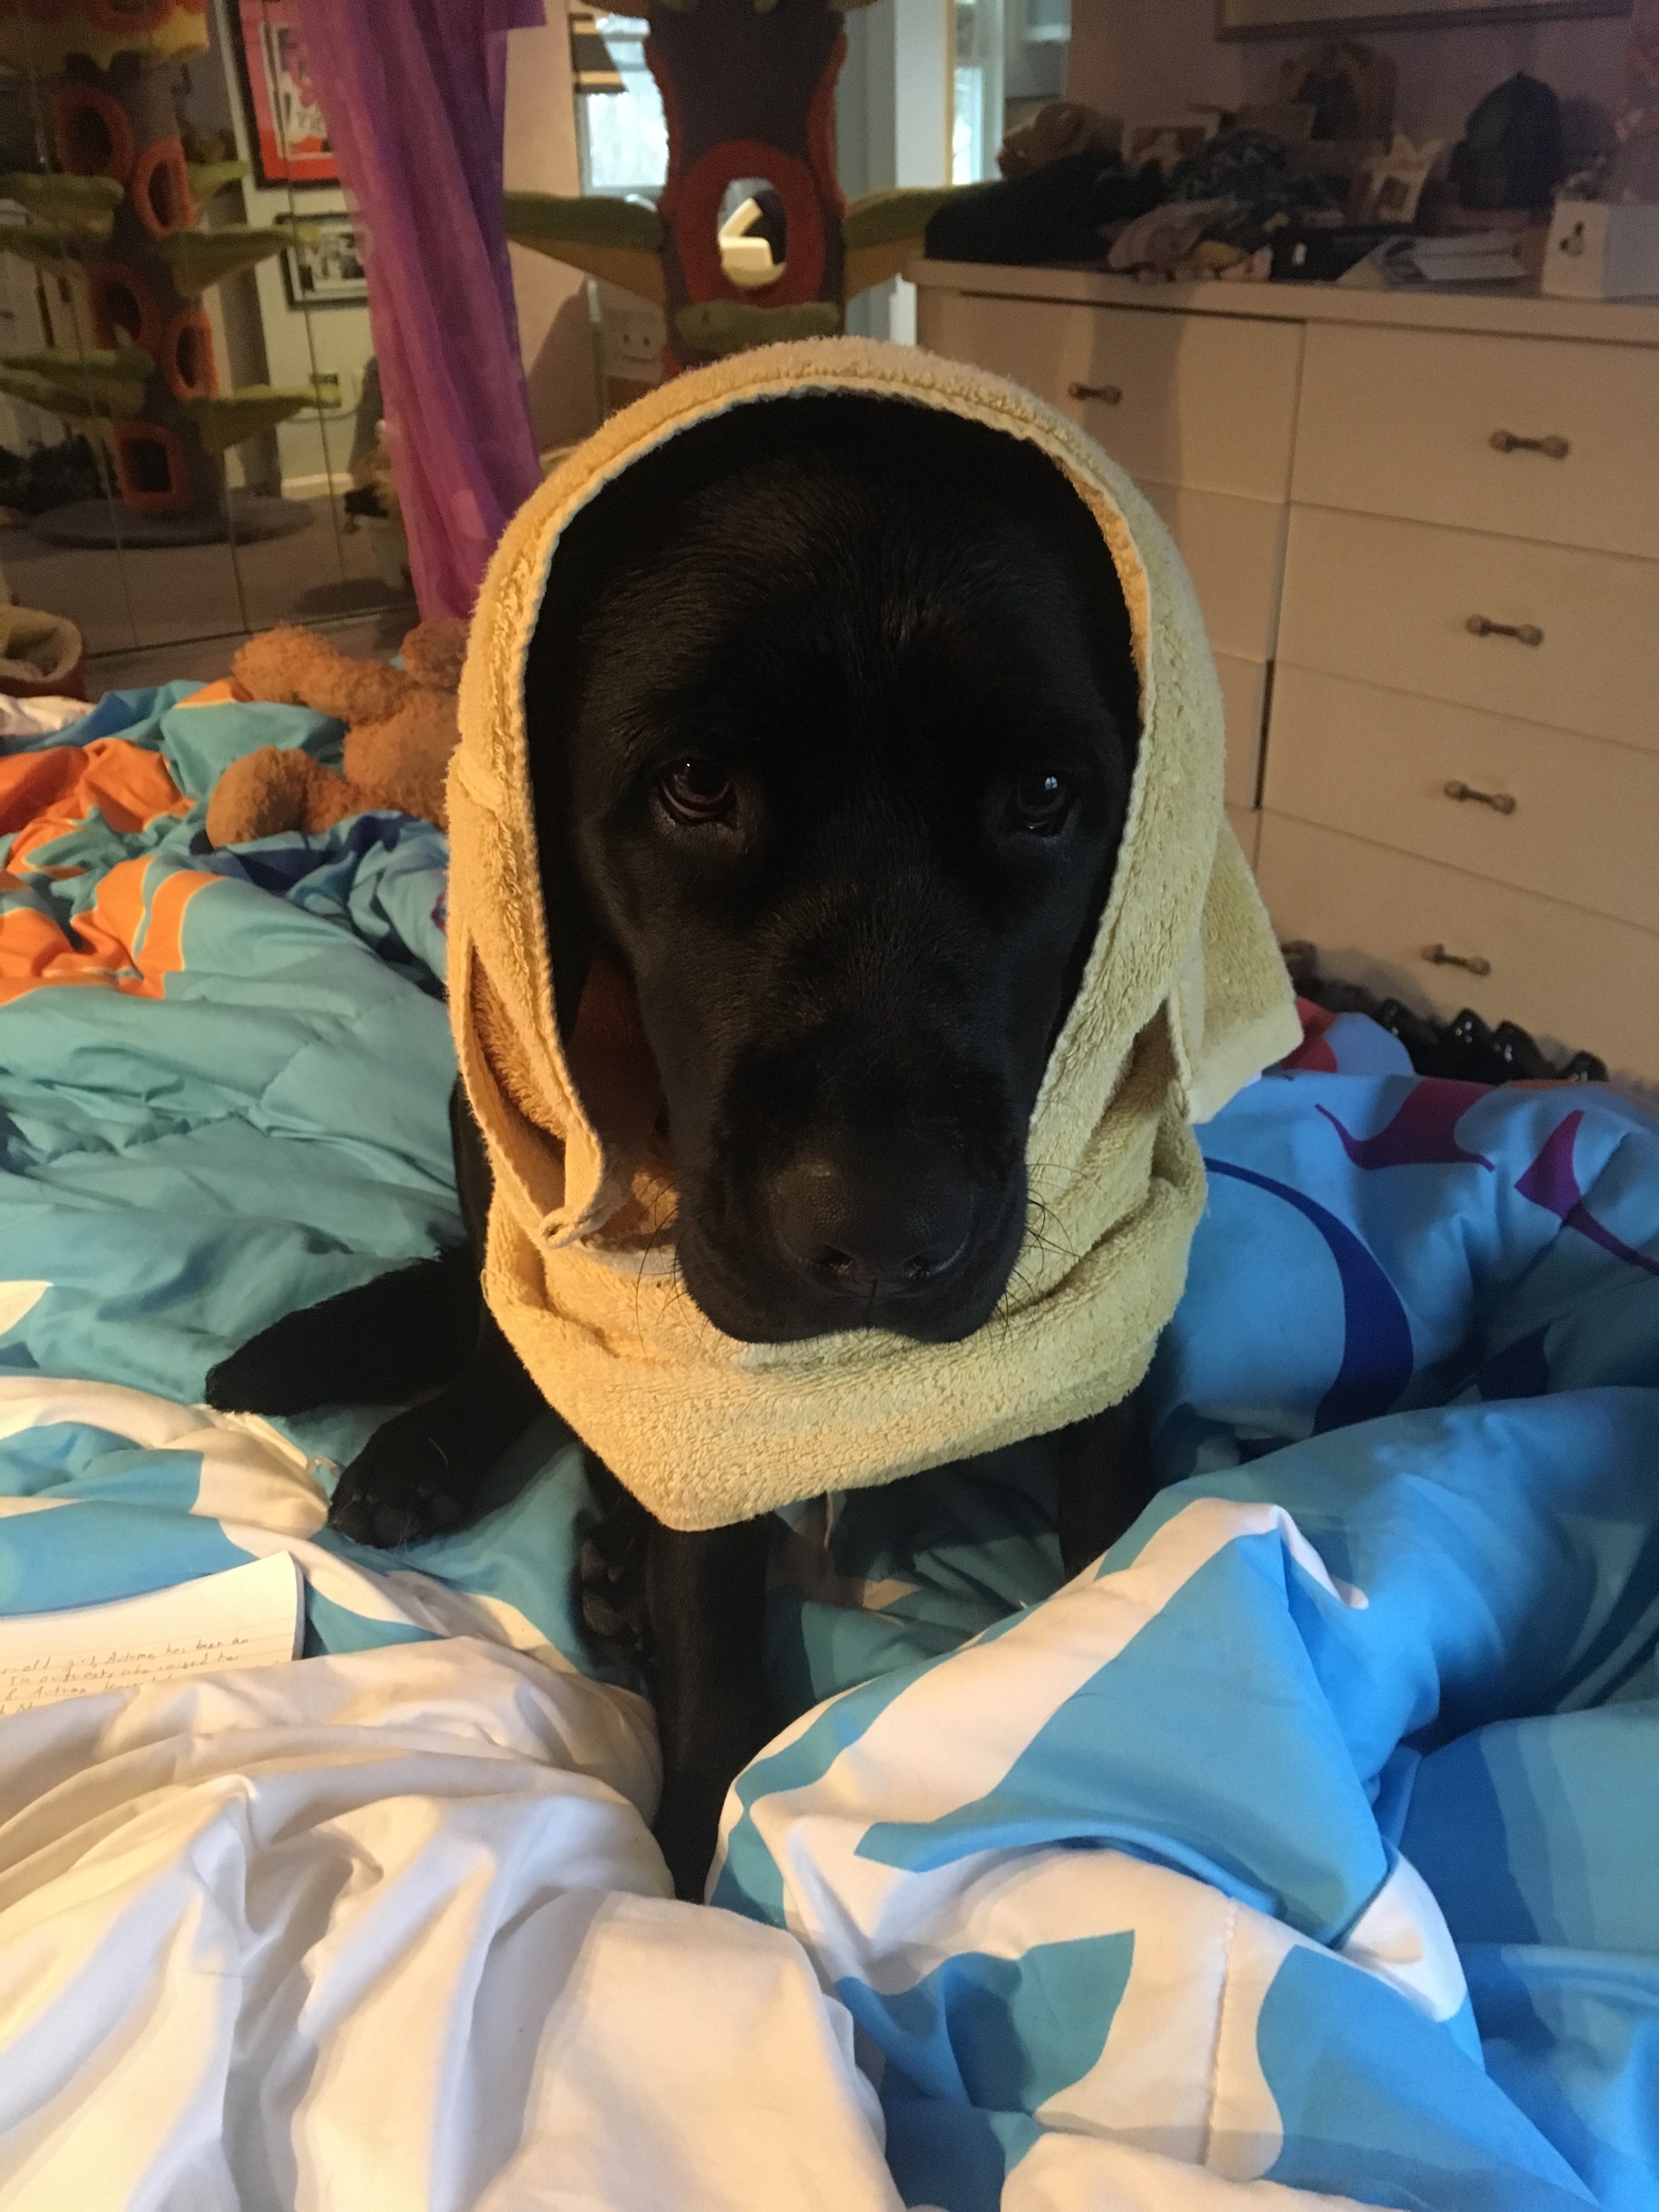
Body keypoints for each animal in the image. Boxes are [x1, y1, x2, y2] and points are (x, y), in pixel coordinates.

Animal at [211, 393, 1159, 1884]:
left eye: (1048, 795)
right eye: (697, 786)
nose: (882, 1238)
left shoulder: (1121, 1293)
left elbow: (1119, 1511)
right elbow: (711, 1626)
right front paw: (702, 1864)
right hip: (490, 1117)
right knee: (514, 1337)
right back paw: (458, 1474)